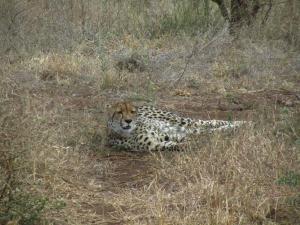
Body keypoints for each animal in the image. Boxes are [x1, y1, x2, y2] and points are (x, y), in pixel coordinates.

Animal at [106, 101, 247, 151]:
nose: (128, 121)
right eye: (119, 112)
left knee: (209, 123)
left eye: (132, 112)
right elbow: (173, 145)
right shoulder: (156, 144)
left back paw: (244, 123)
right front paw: (190, 144)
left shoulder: (174, 133)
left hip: (181, 122)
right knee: (206, 129)